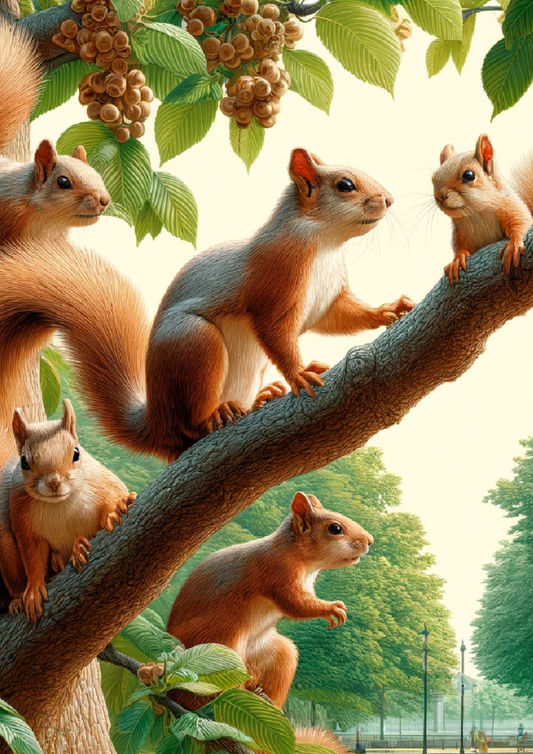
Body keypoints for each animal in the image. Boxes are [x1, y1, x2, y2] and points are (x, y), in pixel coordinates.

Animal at [0, 148, 415, 463]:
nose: (389, 199)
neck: (326, 244)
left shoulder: (330, 297)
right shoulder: (275, 276)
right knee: (190, 425)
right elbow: (275, 329)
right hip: (194, 345)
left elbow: (340, 316)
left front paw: (389, 310)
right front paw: (299, 374)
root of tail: (155, 424)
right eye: (345, 184)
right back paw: (215, 415)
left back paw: (256, 401)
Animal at [0, 399, 136, 622]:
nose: (54, 483)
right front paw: (33, 591)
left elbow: (114, 498)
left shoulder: (104, 483)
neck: (60, 503)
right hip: (6, 550)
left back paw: (77, 549)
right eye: (24, 462)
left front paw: (115, 511)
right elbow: (33, 558)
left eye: (76, 453)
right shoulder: (22, 516)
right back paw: (18, 600)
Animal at [163, 492, 370, 754]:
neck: (301, 559)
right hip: (220, 642)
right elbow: (297, 605)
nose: (370, 540)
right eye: (335, 528)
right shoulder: (276, 573)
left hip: (279, 654)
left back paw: (267, 705)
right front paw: (332, 608)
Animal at [433, 134, 533, 284]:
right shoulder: (460, 233)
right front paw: (457, 260)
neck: (476, 215)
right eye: (433, 178)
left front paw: (514, 246)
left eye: (469, 175)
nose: (439, 196)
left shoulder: (512, 208)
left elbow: (522, 223)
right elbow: (461, 247)